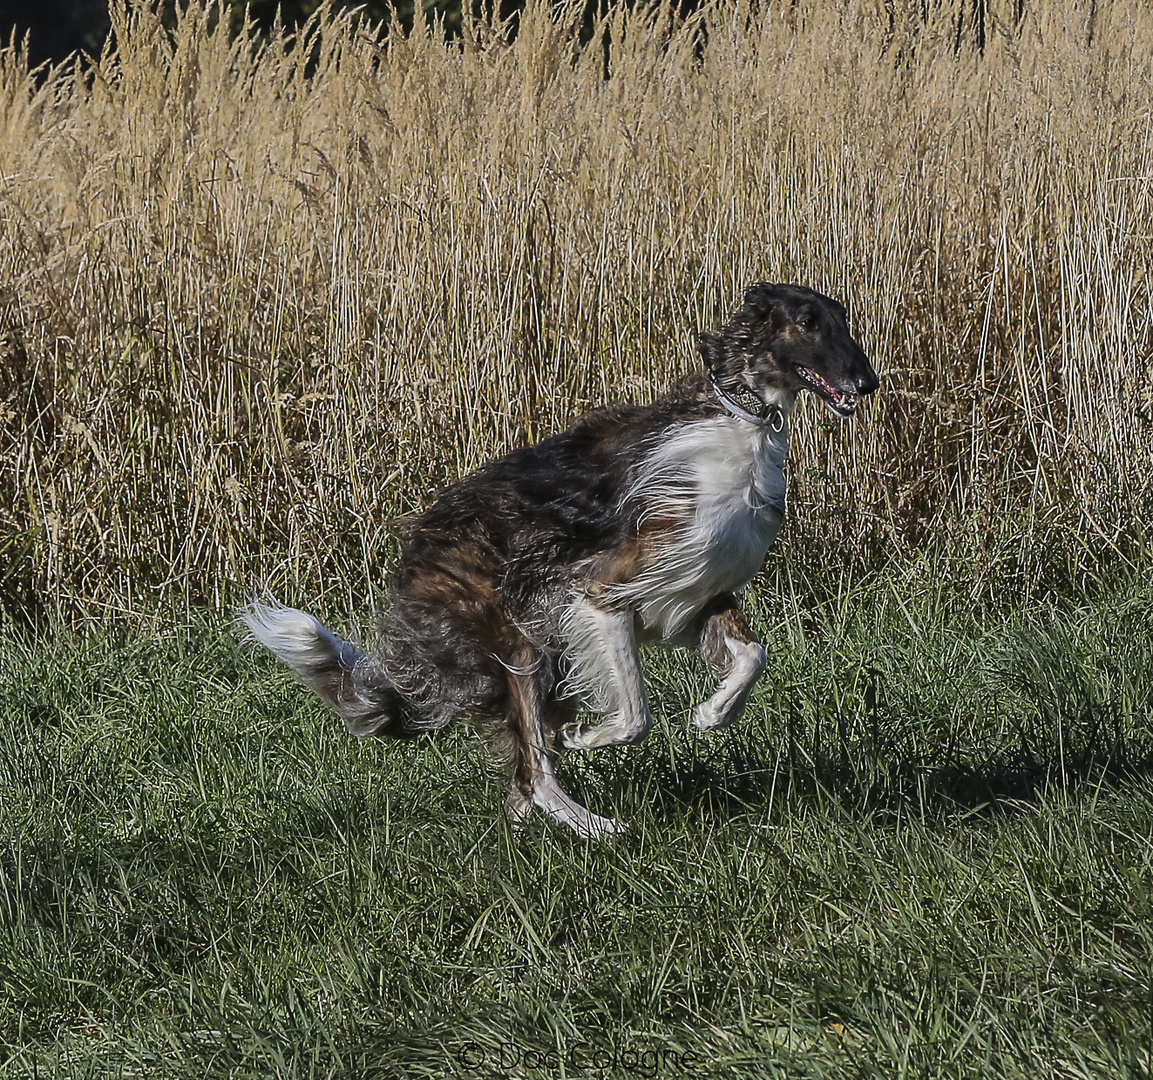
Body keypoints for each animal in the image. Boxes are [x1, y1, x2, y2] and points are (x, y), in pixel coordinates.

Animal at [240, 282, 871, 839]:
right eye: (808, 322)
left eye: (841, 318)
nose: (867, 382)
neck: (738, 422)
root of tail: (419, 551)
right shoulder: (601, 592)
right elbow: (635, 715)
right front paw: (593, 739)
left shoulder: (692, 593)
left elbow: (753, 656)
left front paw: (714, 713)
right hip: (520, 646)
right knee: (534, 772)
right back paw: (600, 828)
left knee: (522, 783)